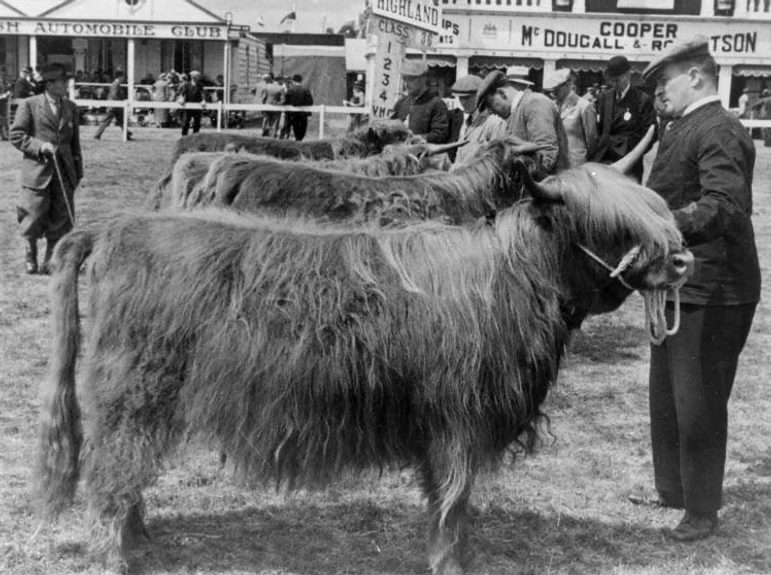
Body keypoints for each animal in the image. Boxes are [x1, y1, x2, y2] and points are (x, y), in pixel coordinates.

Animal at [37, 161, 693, 574]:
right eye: (613, 225)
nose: (683, 260)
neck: (511, 283)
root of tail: (116, 227)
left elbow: (445, 500)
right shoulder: (460, 421)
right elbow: (453, 501)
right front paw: (450, 562)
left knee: (126, 469)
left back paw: (138, 535)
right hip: (132, 391)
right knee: (112, 469)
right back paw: (115, 552)